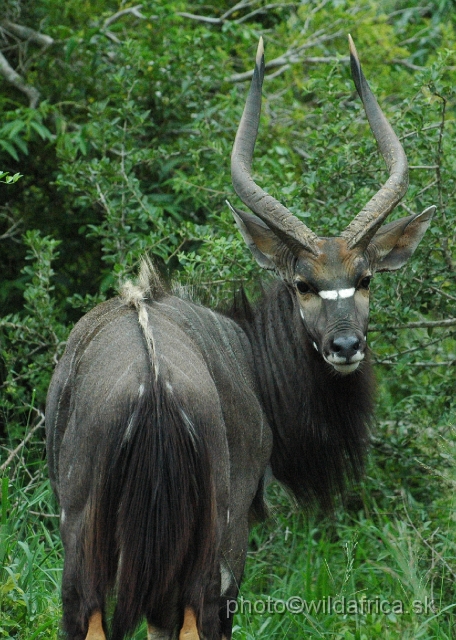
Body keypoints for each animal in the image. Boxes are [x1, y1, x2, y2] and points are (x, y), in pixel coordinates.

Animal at [46, 36, 434, 640]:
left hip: (85, 545)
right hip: (212, 545)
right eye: (303, 284)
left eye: (365, 277)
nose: (346, 348)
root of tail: (153, 390)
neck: (245, 348)